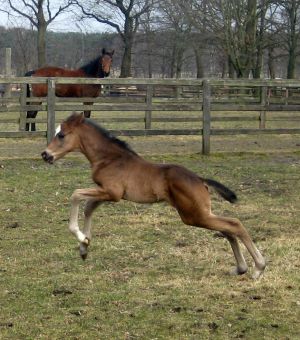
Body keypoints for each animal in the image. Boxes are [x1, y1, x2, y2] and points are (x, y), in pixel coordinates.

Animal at [41, 113, 266, 278]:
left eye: (61, 135)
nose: (45, 155)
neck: (110, 158)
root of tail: (200, 179)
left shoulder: (112, 193)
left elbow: (76, 195)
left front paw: (80, 237)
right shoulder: (106, 193)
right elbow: (88, 207)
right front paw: (84, 247)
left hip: (193, 215)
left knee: (235, 224)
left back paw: (258, 268)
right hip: (200, 214)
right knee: (228, 230)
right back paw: (241, 268)